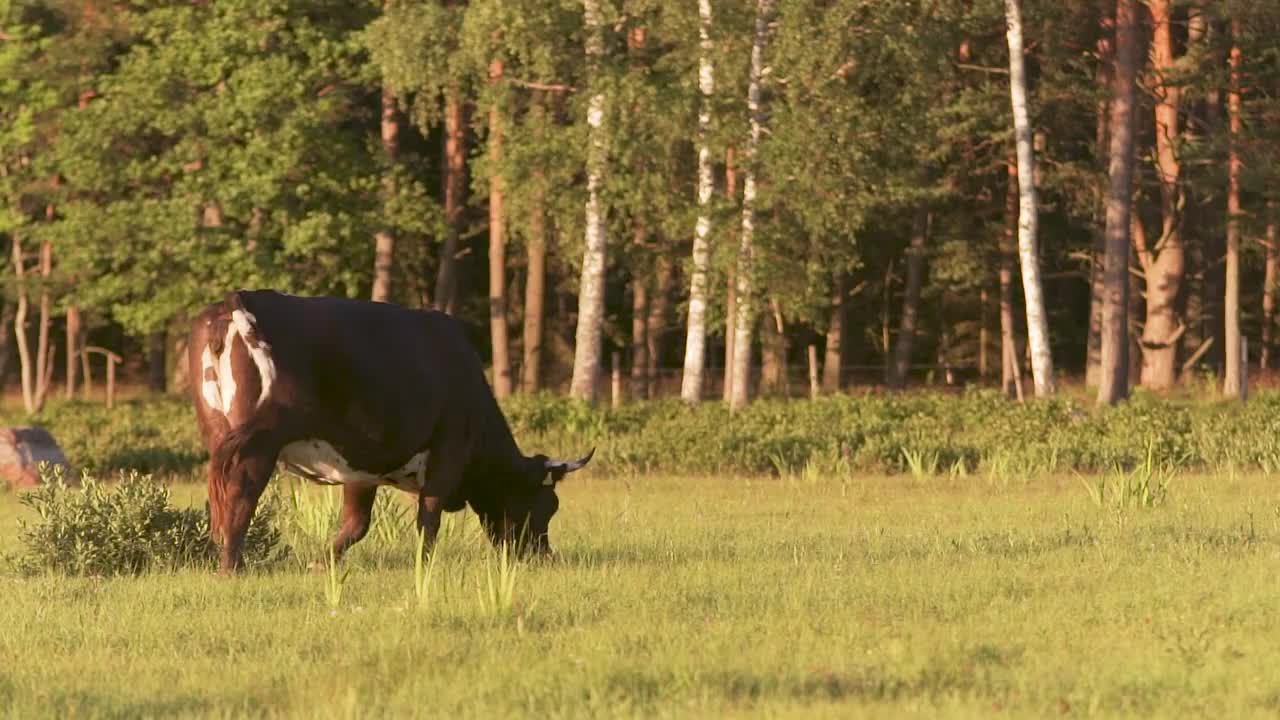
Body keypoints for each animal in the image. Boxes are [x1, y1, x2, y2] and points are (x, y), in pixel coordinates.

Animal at [186, 285, 593, 571]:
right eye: (546, 506)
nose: (543, 556)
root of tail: (235, 300)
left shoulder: (359, 466)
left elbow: (356, 523)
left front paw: (324, 562)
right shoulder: (447, 454)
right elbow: (428, 518)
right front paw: (424, 566)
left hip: (220, 435)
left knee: (219, 496)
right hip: (259, 443)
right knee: (241, 494)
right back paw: (232, 566)